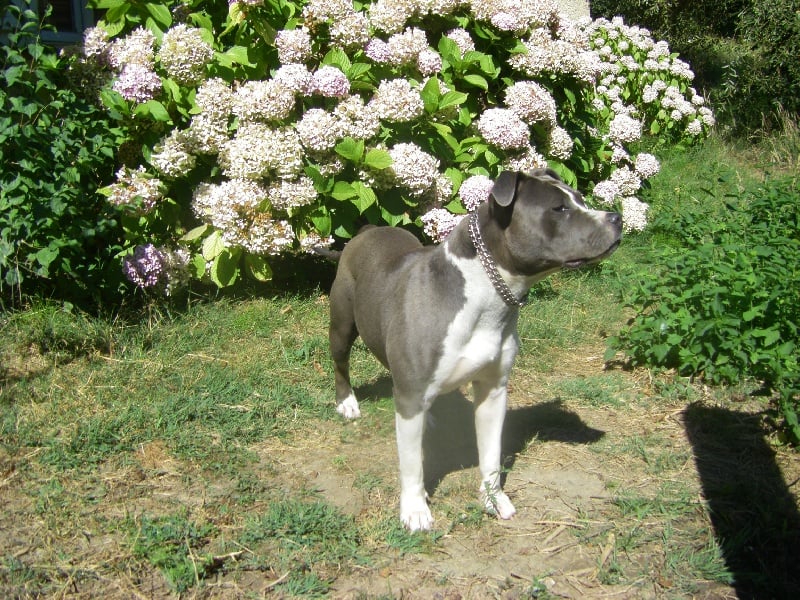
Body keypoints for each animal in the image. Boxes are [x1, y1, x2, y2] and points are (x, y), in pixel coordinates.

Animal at [328, 168, 620, 528]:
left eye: (579, 199)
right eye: (559, 208)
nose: (617, 218)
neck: (486, 294)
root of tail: (367, 230)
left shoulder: (493, 390)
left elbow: (491, 453)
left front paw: (493, 498)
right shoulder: (410, 394)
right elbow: (412, 464)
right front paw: (414, 510)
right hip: (343, 323)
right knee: (341, 363)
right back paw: (347, 403)